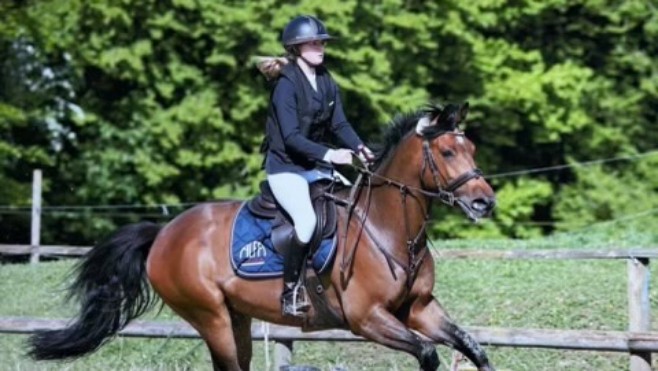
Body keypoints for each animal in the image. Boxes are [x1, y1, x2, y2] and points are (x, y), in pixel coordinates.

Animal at [28, 102, 494, 371]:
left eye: (471, 149)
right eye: (447, 152)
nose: (485, 203)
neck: (387, 226)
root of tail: (164, 233)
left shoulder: (419, 310)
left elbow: (473, 348)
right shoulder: (368, 319)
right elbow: (429, 354)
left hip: (236, 316)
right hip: (211, 316)